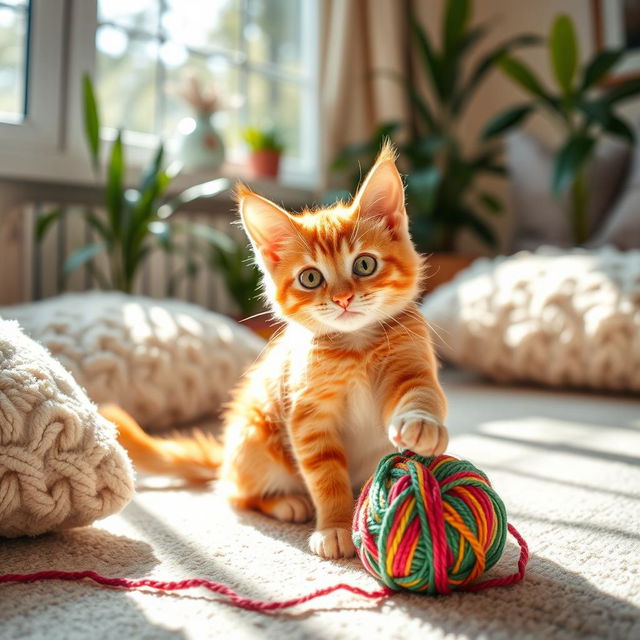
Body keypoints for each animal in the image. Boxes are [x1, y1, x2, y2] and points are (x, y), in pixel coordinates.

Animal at [102, 142, 448, 556]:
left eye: (364, 265)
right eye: (310, 278)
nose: (344, 298)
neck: (355, 349)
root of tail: (226, 457)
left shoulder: (411, 364)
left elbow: (420, 393)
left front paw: (422, 426)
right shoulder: (307, 413)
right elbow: (325, 476)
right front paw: (335, 526)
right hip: (256, 436)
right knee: (235, 494)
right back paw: (287, 503)